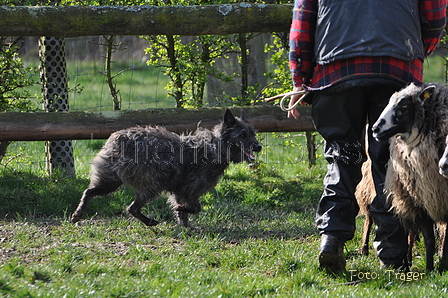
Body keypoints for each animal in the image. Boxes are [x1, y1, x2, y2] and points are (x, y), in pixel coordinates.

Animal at [71, 109, 260, 228]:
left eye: (253, 133)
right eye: (242, 135)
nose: (258, 147)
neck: (216, 147)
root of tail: (117, 139)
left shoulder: (180, 191)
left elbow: (187, 213)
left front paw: (185, 228)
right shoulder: (188, 190)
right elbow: (195, 208)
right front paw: (181, 211)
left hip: (110, 182)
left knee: (89, 192)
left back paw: (78, 214)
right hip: (154, 183)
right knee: (132, 208)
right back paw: (149, 222)